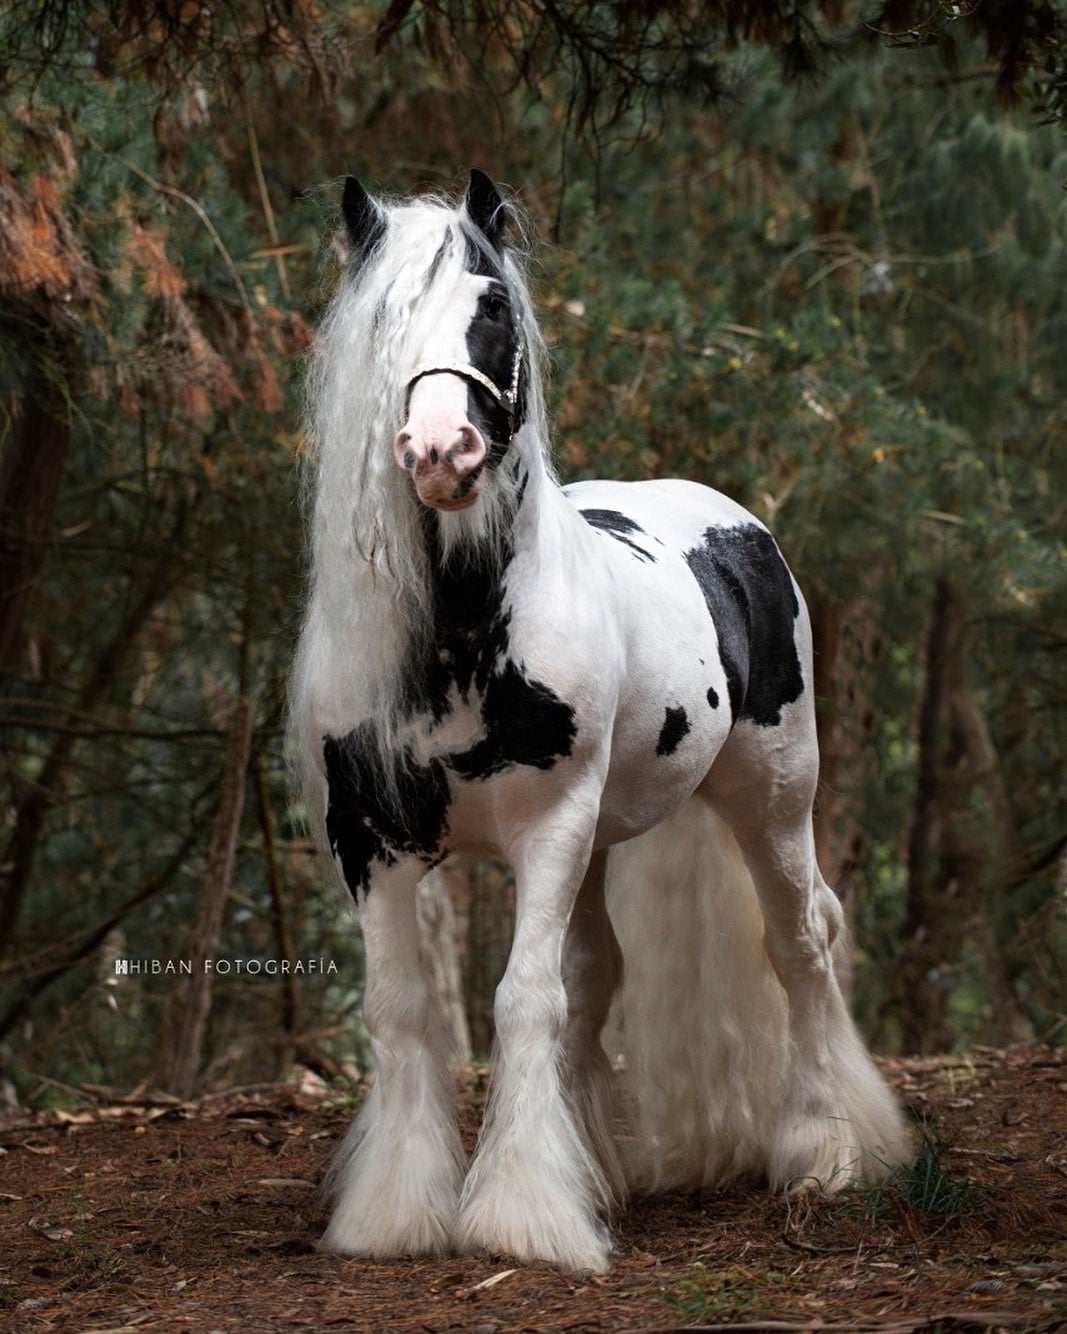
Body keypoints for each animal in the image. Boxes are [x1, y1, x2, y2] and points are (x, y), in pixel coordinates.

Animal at [292, 172, 906, 1275]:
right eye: (382, 321)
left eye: (493, 308)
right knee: (596, 973)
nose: (438, 453)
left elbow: (519, 998)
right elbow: (404, 1008)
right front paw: (395, 1213)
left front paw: (521, 1218)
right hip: (600, 841)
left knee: (798, 943)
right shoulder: (369, 840)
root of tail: (728, 520)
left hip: (770, 798)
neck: (459, 641)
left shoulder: (549, 827)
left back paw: (833, 1149)